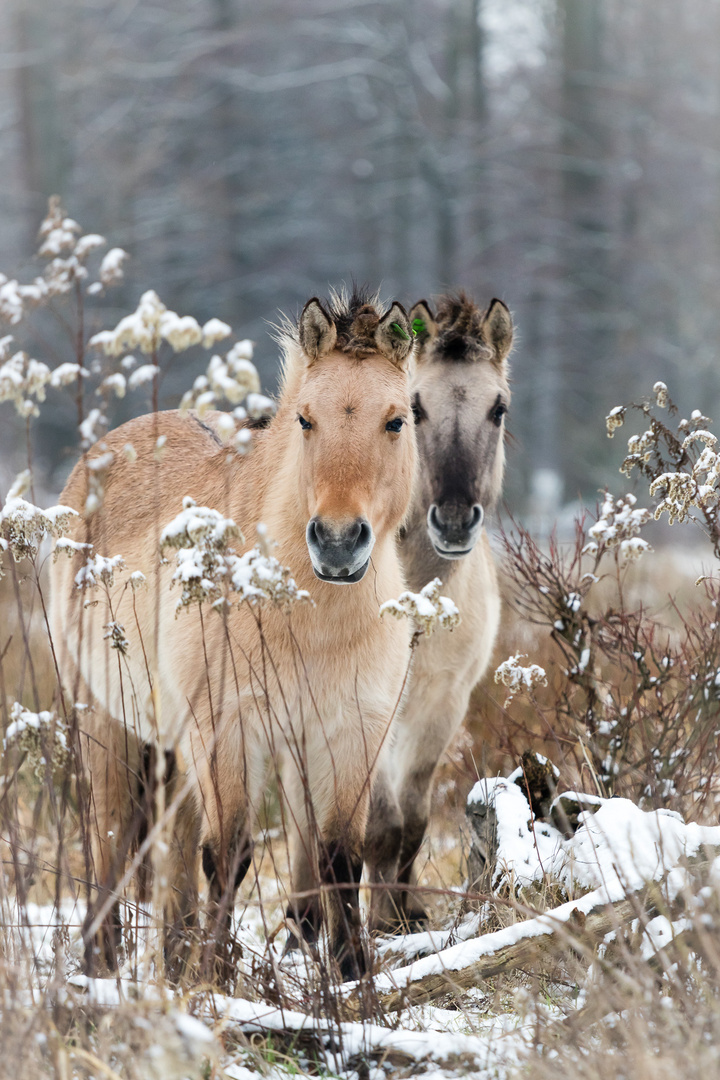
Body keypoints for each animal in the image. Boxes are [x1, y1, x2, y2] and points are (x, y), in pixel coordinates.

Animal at [50, 289, 416, 980]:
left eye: (397, 421)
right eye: (304, 420)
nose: (336, 543)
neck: (308, 616)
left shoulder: (352, 732)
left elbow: (339, 857)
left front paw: (354, 974)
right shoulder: (229, 730)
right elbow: (230, 855)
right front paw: (215, 980)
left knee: (172, 848)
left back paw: (171, 954)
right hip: (105, 721)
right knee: (111, 836)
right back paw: (102, 961)